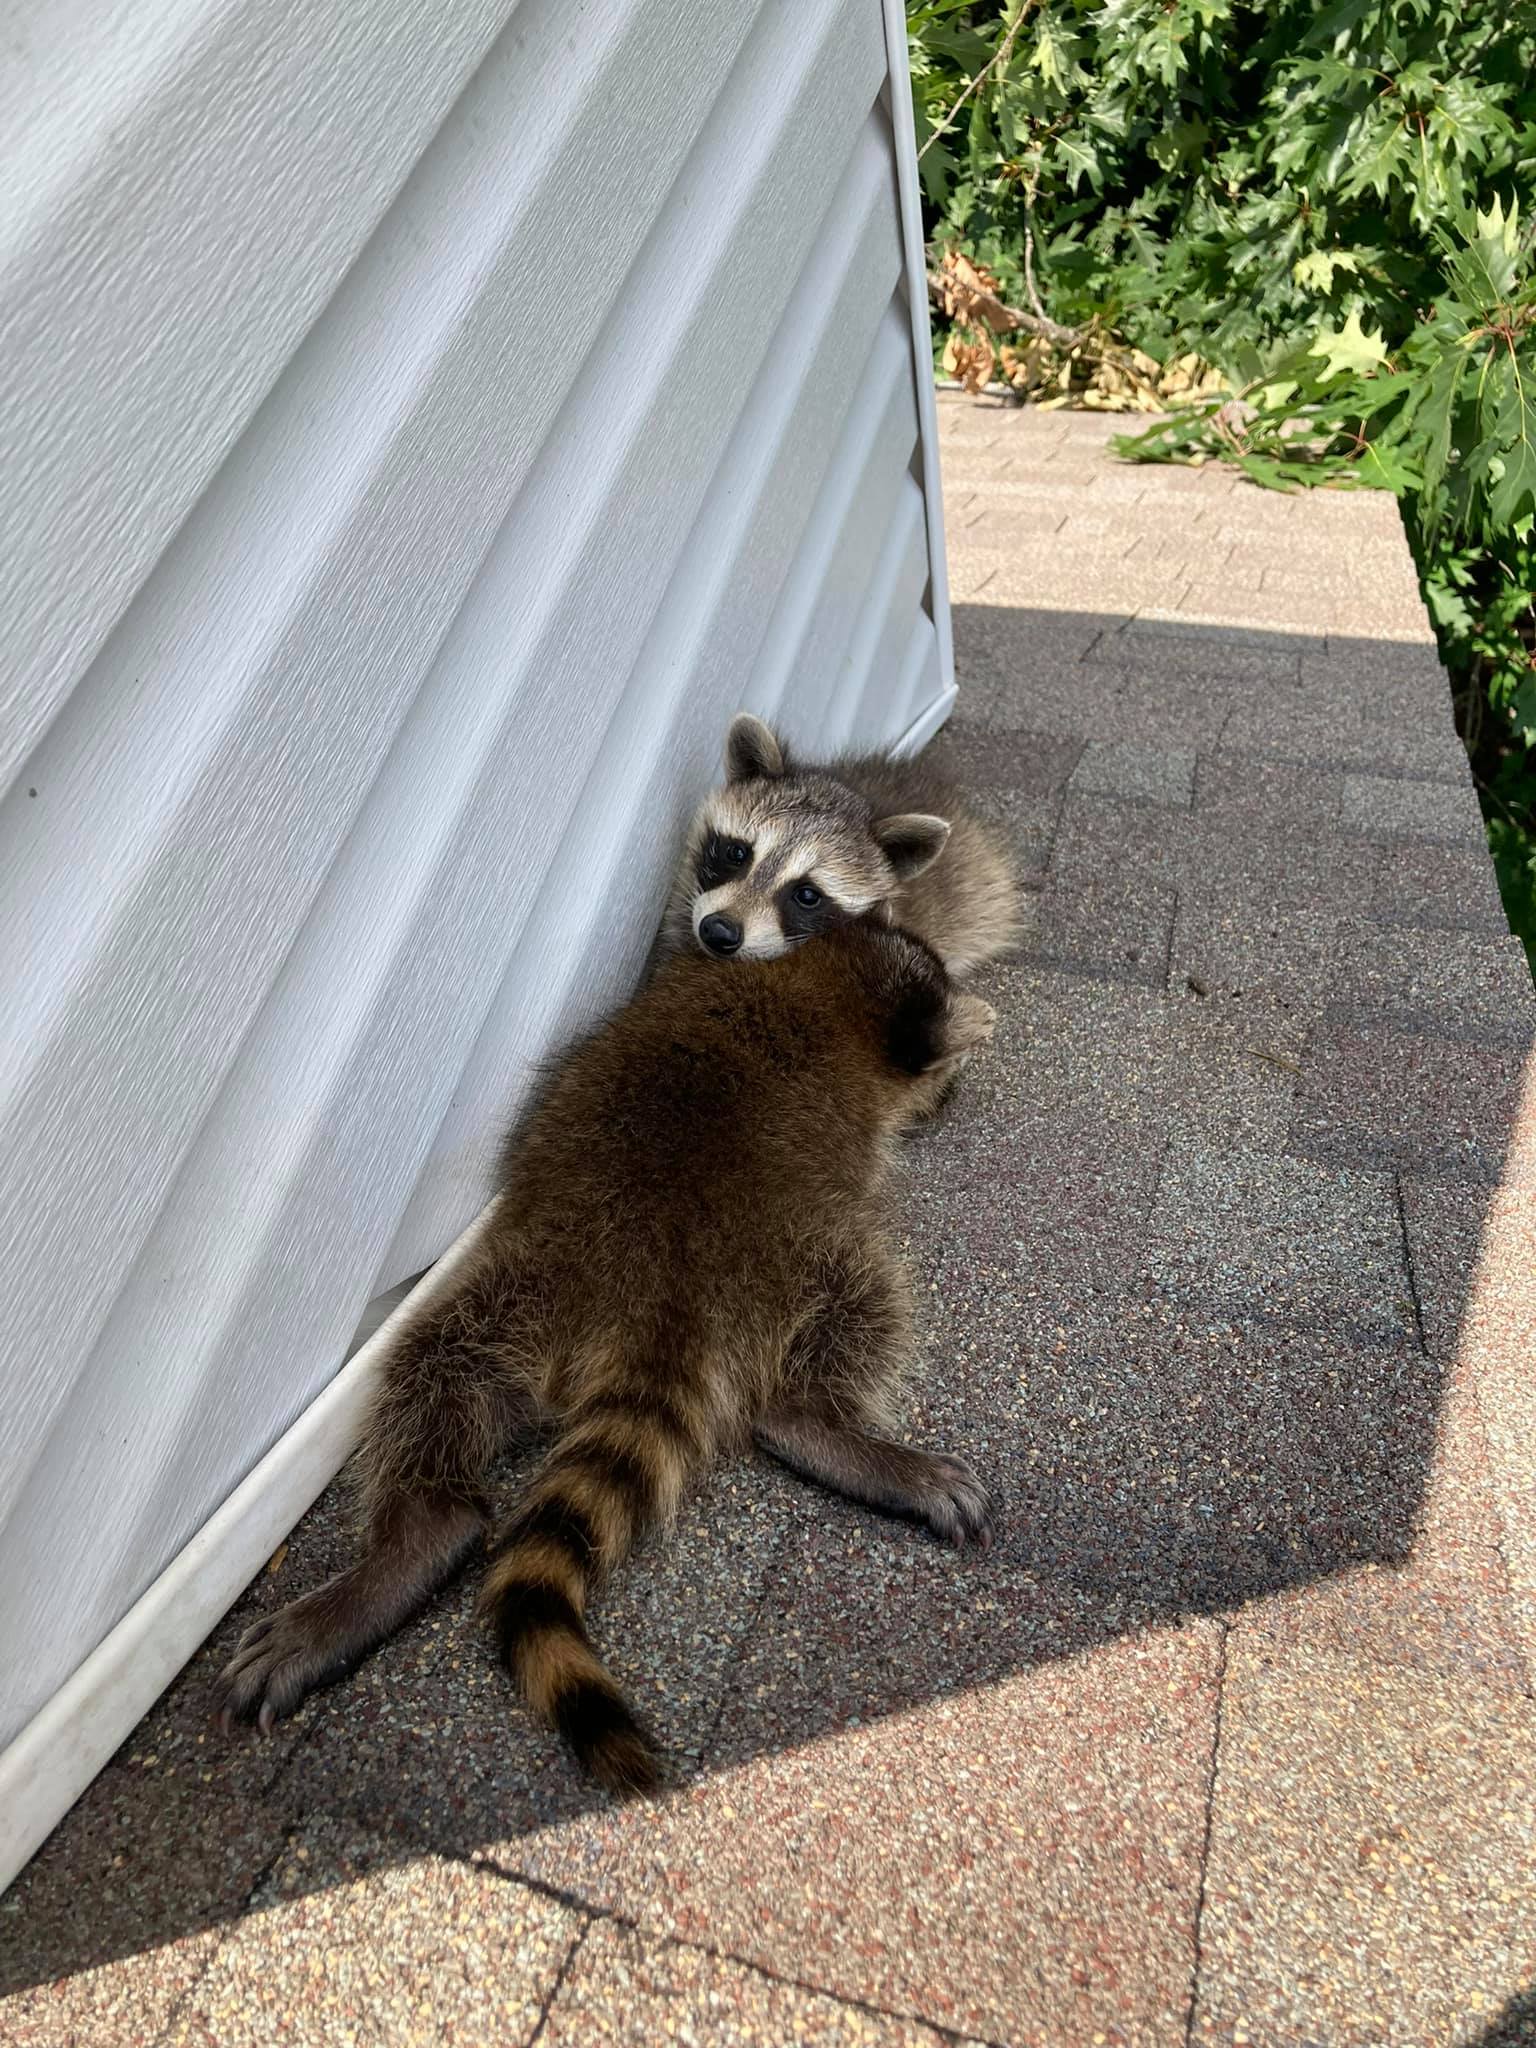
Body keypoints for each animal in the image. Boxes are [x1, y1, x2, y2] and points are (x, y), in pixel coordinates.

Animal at [217, 921, 999, 1802]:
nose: (956, 1075)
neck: (822, 971)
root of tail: (663, 1299)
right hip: (793, 1250)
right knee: (867, 1299)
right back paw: (820, 1423)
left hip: (525, 1295)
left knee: (433, 1365)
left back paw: (417, 1534)